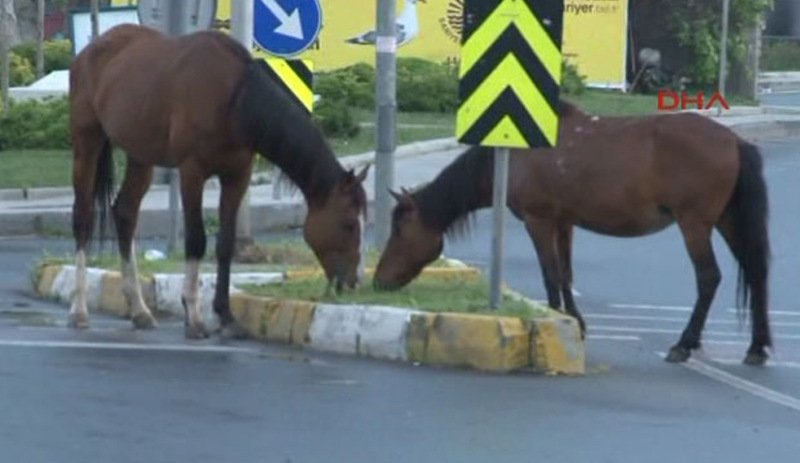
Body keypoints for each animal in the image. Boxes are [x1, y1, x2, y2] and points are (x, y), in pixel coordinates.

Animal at [69, 24, 368, 338]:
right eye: (348, 224)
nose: (356, 281)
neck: (234, 99)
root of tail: (91, 49)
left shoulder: (237, 176)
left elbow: (225, 244)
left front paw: (225, 314)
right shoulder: (192, 172)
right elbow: (196, 239)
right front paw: (194, 315)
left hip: (140, 155)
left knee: (125, 213)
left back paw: (139, 310)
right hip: (87, 142)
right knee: (83, 219)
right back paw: (79, 310)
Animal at [376, 100, 776, 366]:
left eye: (399, 229)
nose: (379, 280)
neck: (521, 149)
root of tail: (734, 141)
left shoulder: (539, 221)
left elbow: (551, 275)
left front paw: (556, 319)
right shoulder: (563, 222)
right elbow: (566, 274)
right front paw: (575, 323)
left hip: (695, 224)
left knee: (709, 278)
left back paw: (685, 343)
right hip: (727, 221)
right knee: (756, 273)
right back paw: (756, 347)